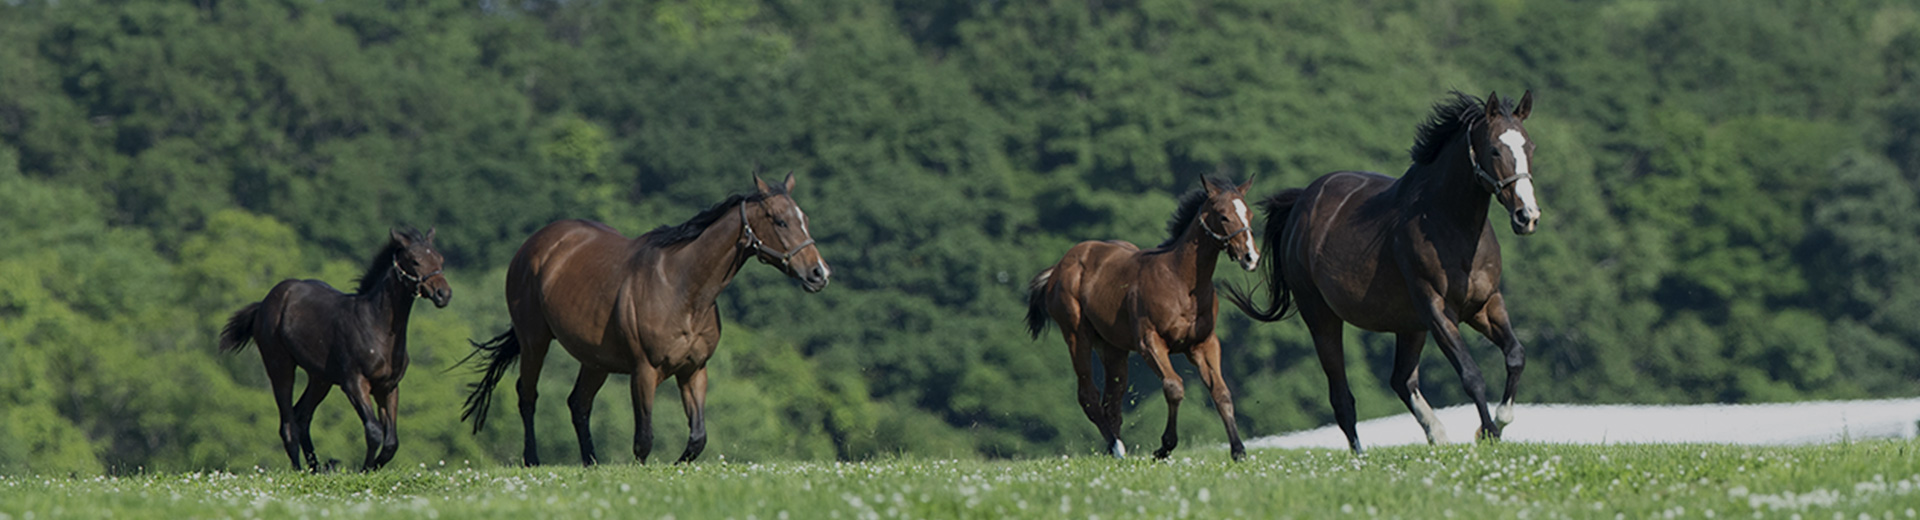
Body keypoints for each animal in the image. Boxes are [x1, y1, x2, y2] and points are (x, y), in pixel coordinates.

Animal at [219, 228, 451, 472]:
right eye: (415, 260)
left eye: (440, 259)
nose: (443, 293)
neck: (377, 327)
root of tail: (264, 304)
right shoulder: (354, 383)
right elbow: (374, 432)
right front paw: (363, 470)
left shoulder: (388, 387)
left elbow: (391, 443)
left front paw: (370, 468)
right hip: (280, 367)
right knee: (288, 424)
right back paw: (301, 470)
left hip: (320, 379)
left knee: (302, 417)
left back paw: (316, 468)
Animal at [464, 173, 833, 466]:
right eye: (780, 221)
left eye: (804, 218)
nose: (820, 273)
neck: (683, 288)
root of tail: (534, 245)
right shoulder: (644, 371)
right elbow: (644, 440)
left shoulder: (693, 371)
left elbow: (697, 438)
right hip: (535, 341)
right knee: (528, 396)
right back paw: (533, 460)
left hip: (595, 361)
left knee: (578, 404)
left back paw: (591, 462)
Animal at [1029, 177, 1267, 462]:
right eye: (1223, 215)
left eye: (1249, 214)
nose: (1251, 257)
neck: (1182, 282)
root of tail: (1059, 268)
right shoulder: (1150, 342)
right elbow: (1174, 387)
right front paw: (1164, 447)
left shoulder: (1204, 343)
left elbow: (1221, 392)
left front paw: (1238, 450)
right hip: (1077, 336)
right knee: (1088, 395)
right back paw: (1116, 448)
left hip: (1113, 349)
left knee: (1112, 401)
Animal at [1228, 91, 1543, 454]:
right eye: (1494, 149)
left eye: (1530, 146)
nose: (1527, 216)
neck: (1452, 225)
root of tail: (1301, 203)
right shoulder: (1437, 311)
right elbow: (1471, 375)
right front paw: (1487, 433)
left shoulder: (1485, 305)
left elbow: (1516, 355)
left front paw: (1498, 424)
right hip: (1322, 318)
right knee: (1342, 397)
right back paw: (1361, 454)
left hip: (1409, 326)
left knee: (1401, 379)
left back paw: (1438, 435)